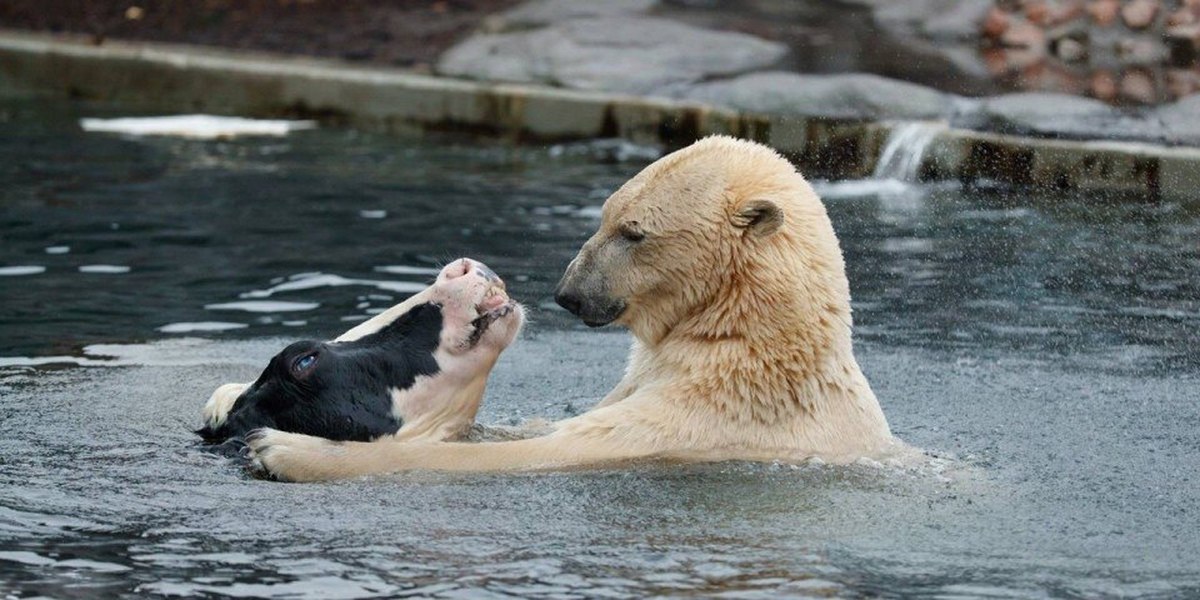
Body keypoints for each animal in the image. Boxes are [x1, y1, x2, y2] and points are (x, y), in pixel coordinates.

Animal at [246, 136, 902, 482]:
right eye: (604, 215)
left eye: (633, 232)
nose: (568, 293)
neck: (748, 347)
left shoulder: (703, 420)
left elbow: (538, 451)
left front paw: (284, 449)